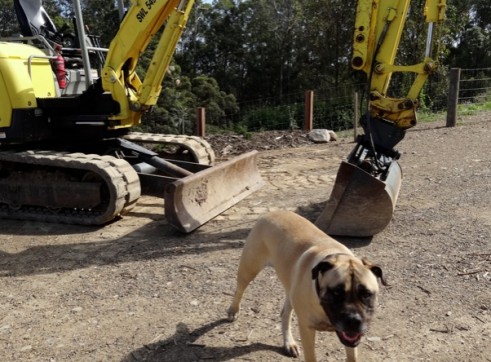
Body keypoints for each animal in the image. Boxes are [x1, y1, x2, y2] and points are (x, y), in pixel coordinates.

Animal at [229, 209, 386, 362]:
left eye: (367, 294)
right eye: (336, 292)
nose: (354, 320)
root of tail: (271, 212)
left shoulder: (350, 338)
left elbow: (352, 356)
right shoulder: (306, 329)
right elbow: (311, 357)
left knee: (285, 313)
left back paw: (289, 343)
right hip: (249, 268)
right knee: (239, 289)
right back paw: (233, 310)